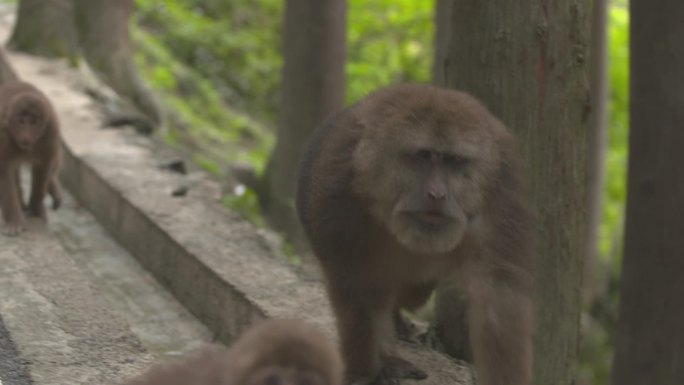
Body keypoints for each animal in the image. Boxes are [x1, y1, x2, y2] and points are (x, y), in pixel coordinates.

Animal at [0, 80, 61, 234]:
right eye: (21, 121)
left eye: (33, 122)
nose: (26, 135)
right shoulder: (2, 136)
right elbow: (4, 171)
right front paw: (14, 221)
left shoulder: (50, 132)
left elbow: (43, 167)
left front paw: (36, 210)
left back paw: (52, 185)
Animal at [296, 84, 536, 384]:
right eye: (422, 156)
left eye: (453, 161)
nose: (437, 194)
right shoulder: (339, 188)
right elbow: (356, 283)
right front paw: (369, 371)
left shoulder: (502, 189)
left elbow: (497, 299)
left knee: (413, 290)